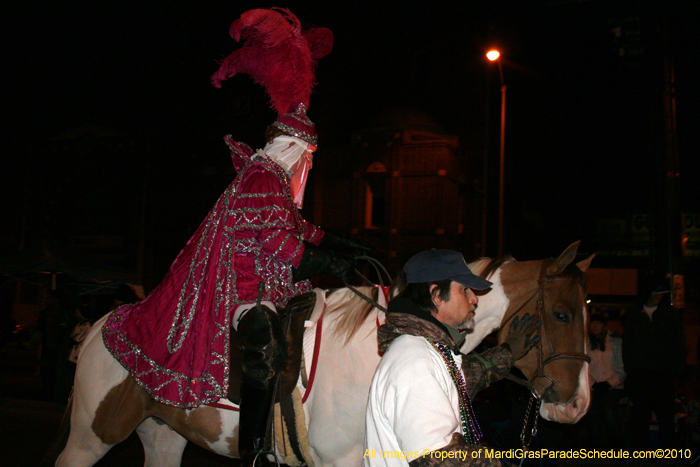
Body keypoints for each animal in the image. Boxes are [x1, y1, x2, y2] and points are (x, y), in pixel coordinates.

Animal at [53, 241, 592, 467]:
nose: (577, 406)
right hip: (90, 438)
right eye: (563, 314)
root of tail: (104, 325)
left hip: (163, 436)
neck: (381, 347)